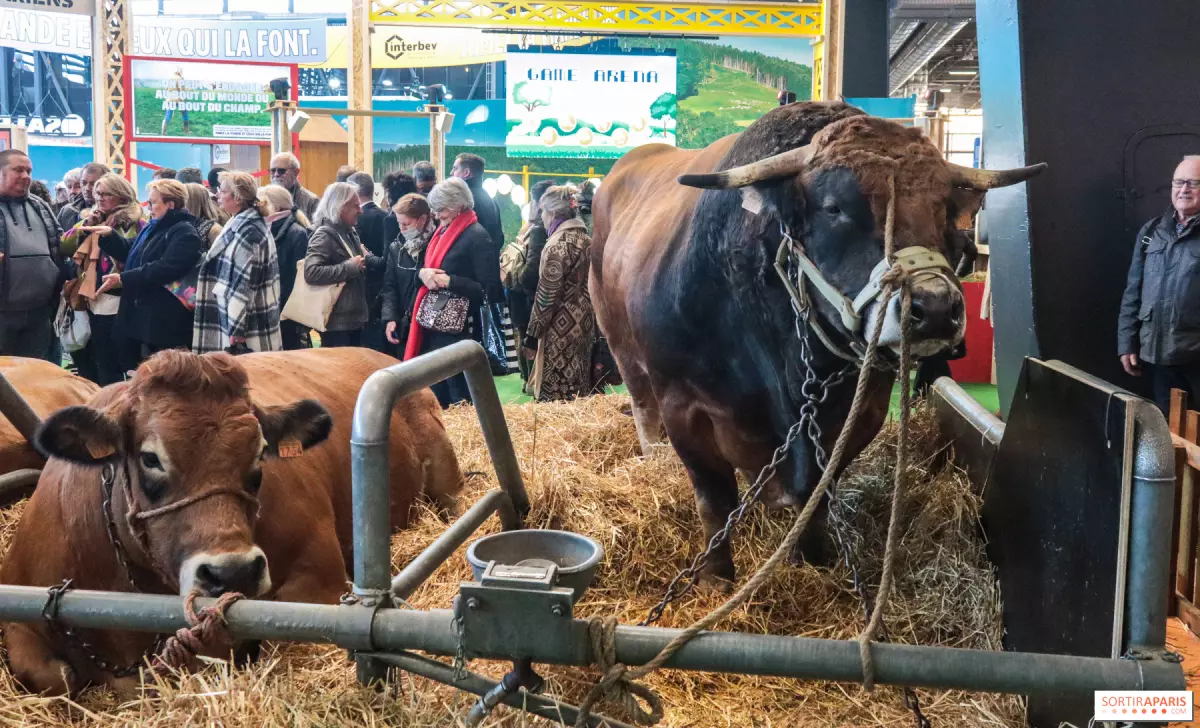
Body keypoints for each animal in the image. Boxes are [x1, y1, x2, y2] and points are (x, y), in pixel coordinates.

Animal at [590, 101, 1041, 587]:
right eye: (834, 207)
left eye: (942, 207)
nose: (937, 307)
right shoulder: (684, 409)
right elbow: (714, 500)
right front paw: (715, 577)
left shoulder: (861, 412)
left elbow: (818, 496)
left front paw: (809, 559)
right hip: (621, 347)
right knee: (642, 407)